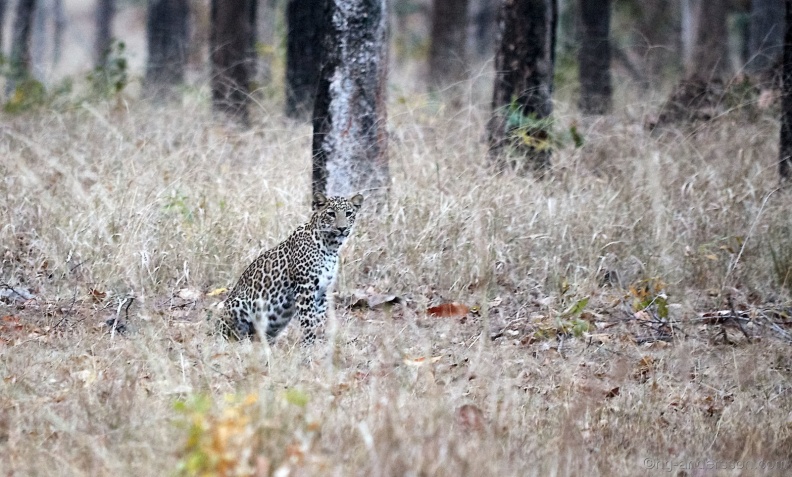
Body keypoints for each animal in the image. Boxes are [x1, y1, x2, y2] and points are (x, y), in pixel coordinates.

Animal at [220, 192, 362, 344]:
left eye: (348, 213)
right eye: (331, 214)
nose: (342, 228)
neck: (330, 247)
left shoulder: (322, 291)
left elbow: (320, 320)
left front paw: (320, 342)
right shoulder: (305, 288)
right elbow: (309, 320)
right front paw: (309, 344)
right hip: (240, 304)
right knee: (234, 335)